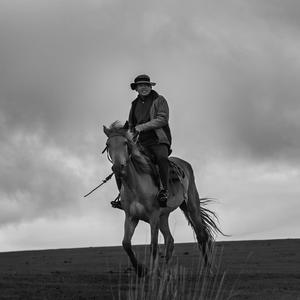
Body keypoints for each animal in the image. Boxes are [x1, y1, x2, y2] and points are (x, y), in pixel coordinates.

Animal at [103, 120, 223, 276]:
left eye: (124, 142)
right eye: (108, 144)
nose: (118, 167)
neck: (136, 185)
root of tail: (185, 164)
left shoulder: (153, 216)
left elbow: (153, 245)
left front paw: (152, 273)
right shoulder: (131, 217)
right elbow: (126, 244)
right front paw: (141, 270)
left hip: (191, 206)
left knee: (201, 235)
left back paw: (208, 270)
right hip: (164, 216)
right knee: (170, 240)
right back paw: (165, 272)